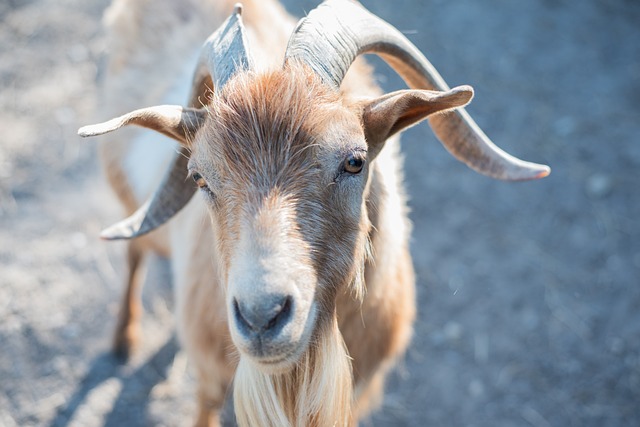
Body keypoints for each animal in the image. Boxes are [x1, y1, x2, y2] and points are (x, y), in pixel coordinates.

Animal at [80, 1, 552, 426]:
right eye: (199, 178)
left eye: (355, 161)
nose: (262, 317)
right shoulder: (210, 375)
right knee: (135, 253)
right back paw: (123, 339)